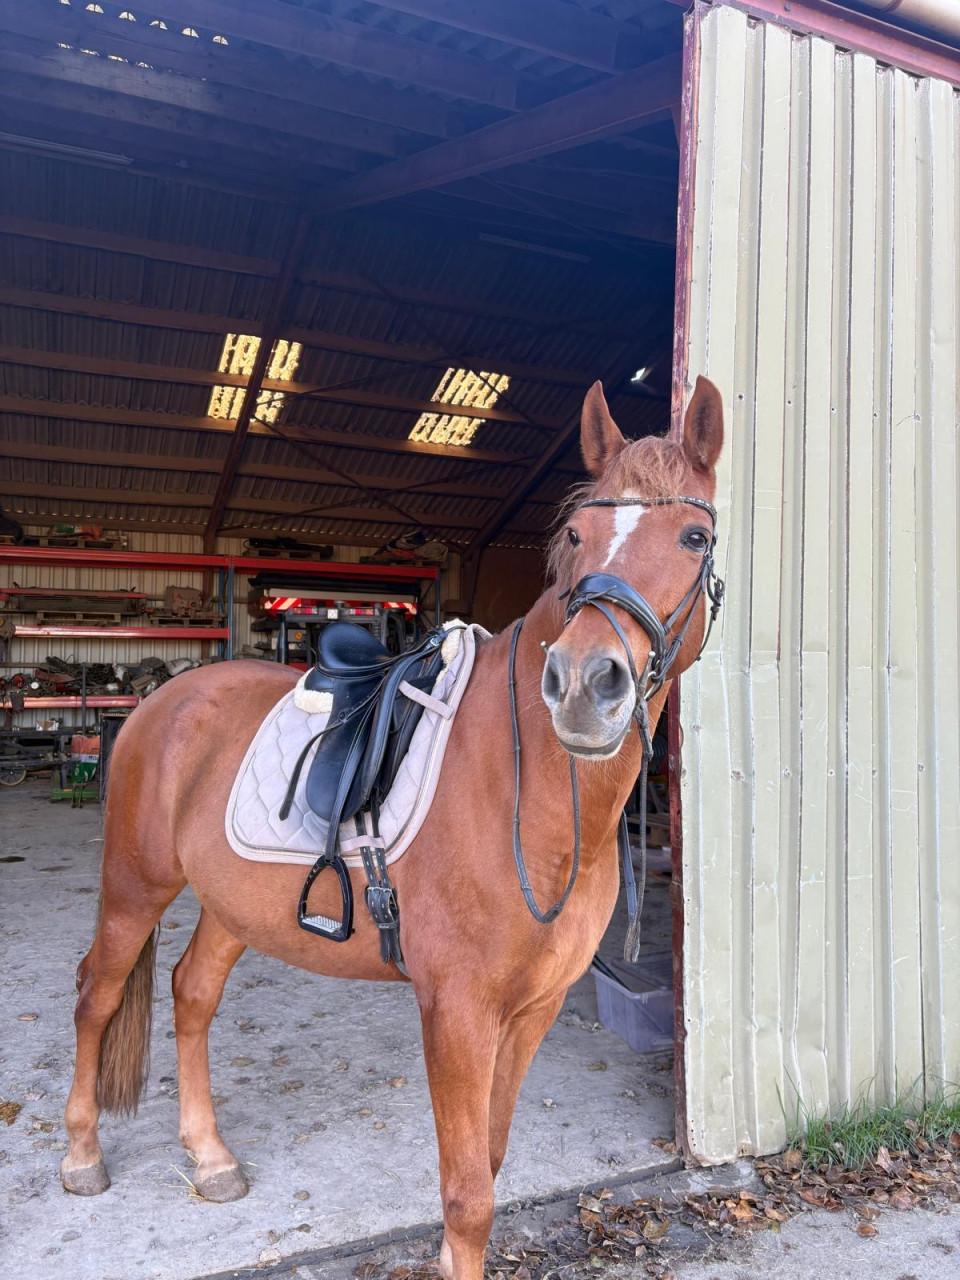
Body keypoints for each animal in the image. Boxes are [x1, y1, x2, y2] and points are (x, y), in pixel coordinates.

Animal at [61, 376, 724, 1280]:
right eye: (577, 535)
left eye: (695, 536)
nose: (585, 684)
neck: (529, 797)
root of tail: (162, 702)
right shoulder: (457, 1011)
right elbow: (468, 1195)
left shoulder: (535, 1009)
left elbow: (490, 1164)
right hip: (136, 885)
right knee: (96, 992)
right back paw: (81, 1155)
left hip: (233, 905)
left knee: (192, 993)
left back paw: (211, 1157)